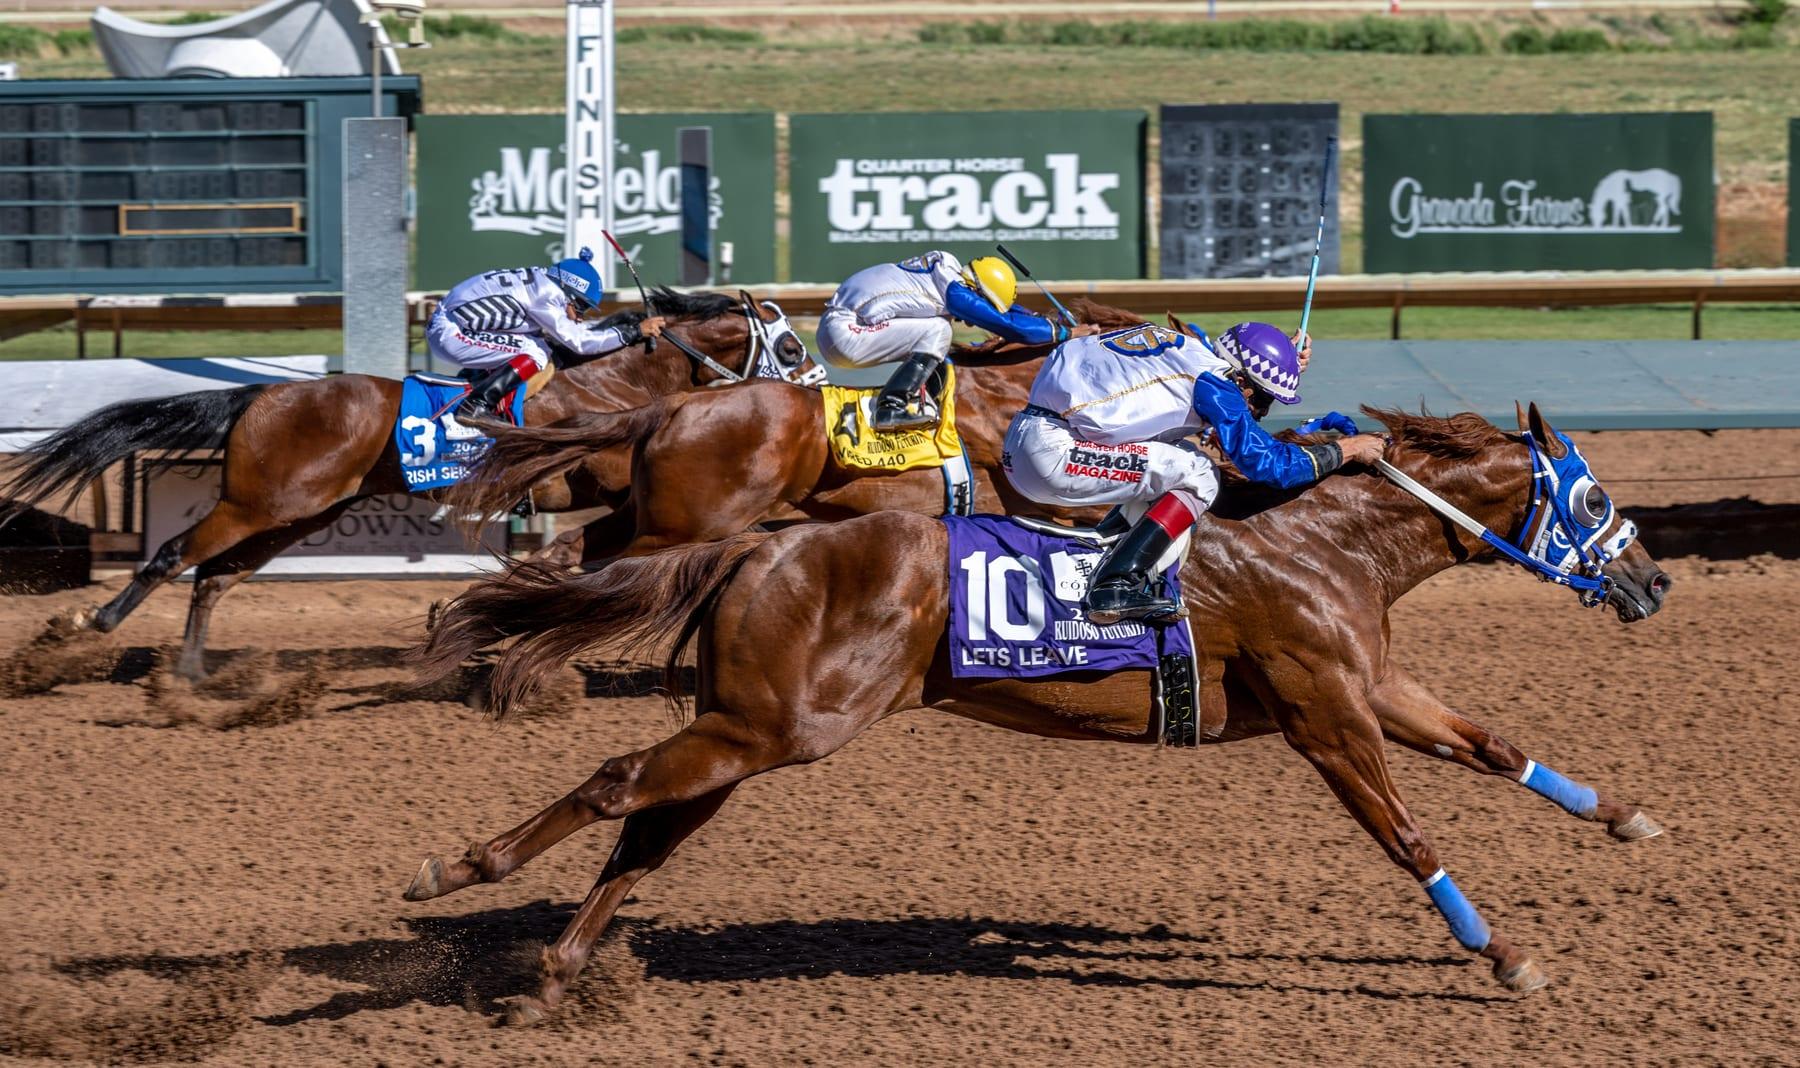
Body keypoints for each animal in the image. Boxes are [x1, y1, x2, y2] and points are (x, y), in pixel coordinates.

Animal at [0, 289, 803, 681]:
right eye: (792, 346)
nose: (810, 397)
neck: (615, 385)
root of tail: (264, 394)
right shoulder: (602, 482)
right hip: (258, 501)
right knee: (174, 555)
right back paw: (90, 626)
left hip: (300, 512)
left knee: (215, 577)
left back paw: (191, 676)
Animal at [405, 402, 1673, 1023]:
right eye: (1593, 498)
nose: (1654, 581)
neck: (1323, 541)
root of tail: (761, 546)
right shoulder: (1326, 714)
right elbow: (1407, 835)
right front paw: (1504, 955)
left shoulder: (1370, 684)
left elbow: (1495, 746)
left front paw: (1624, 819)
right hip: (782, 728)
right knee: (617, 786)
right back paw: (455, 872)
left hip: (751, 732)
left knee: (644, 837)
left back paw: (557, 979)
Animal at [443, 299, 1151, 568]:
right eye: (787, 344)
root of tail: (673, 405)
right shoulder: (1052, 500)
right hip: (679, 526)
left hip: (654, 513)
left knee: (572, 553)